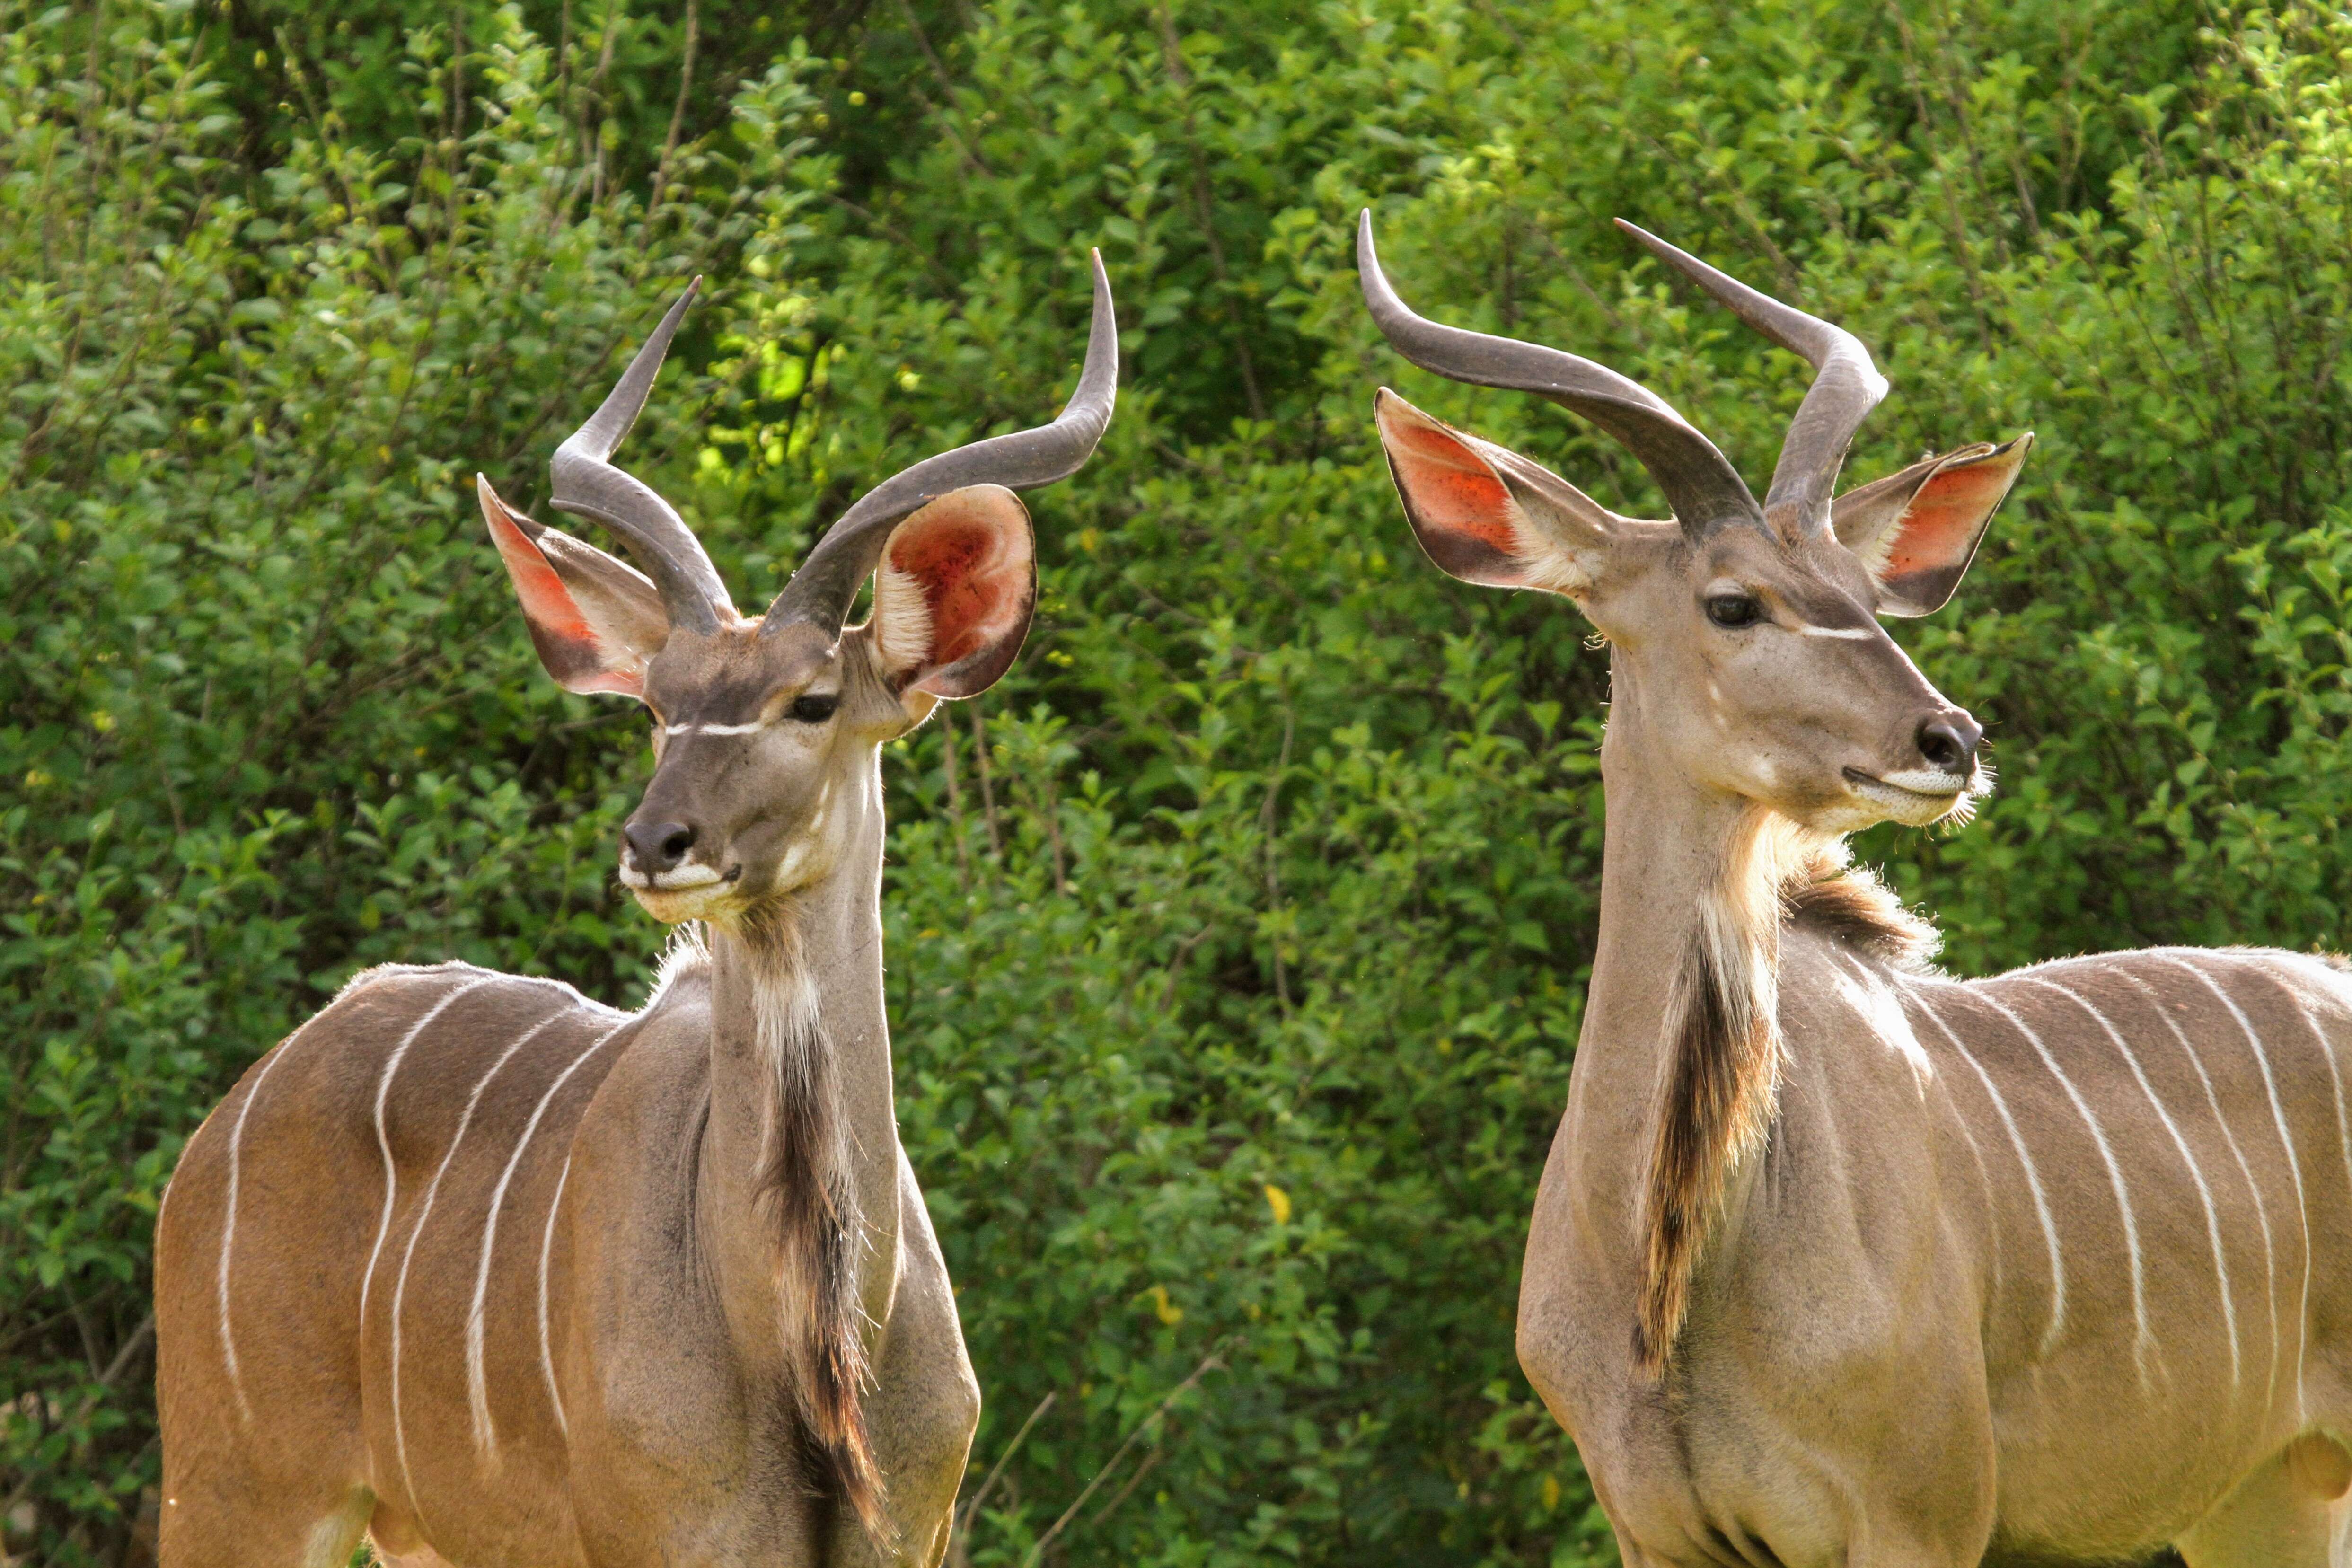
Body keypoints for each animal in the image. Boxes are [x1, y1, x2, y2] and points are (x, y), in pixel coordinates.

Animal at [156, 261, 1119, 1568]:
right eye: (659, 706)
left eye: (811, 699)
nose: (655, 842)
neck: (807, 1352)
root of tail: (228, 1119)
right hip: (236, 1487)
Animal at [1364, 217, 2352, 1568]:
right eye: (1732, 602)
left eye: (1869, 598)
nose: (1951, 739)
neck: (1670, 1275)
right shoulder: (1651, 1527)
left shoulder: (1920, 1514)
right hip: (2259, 1493)